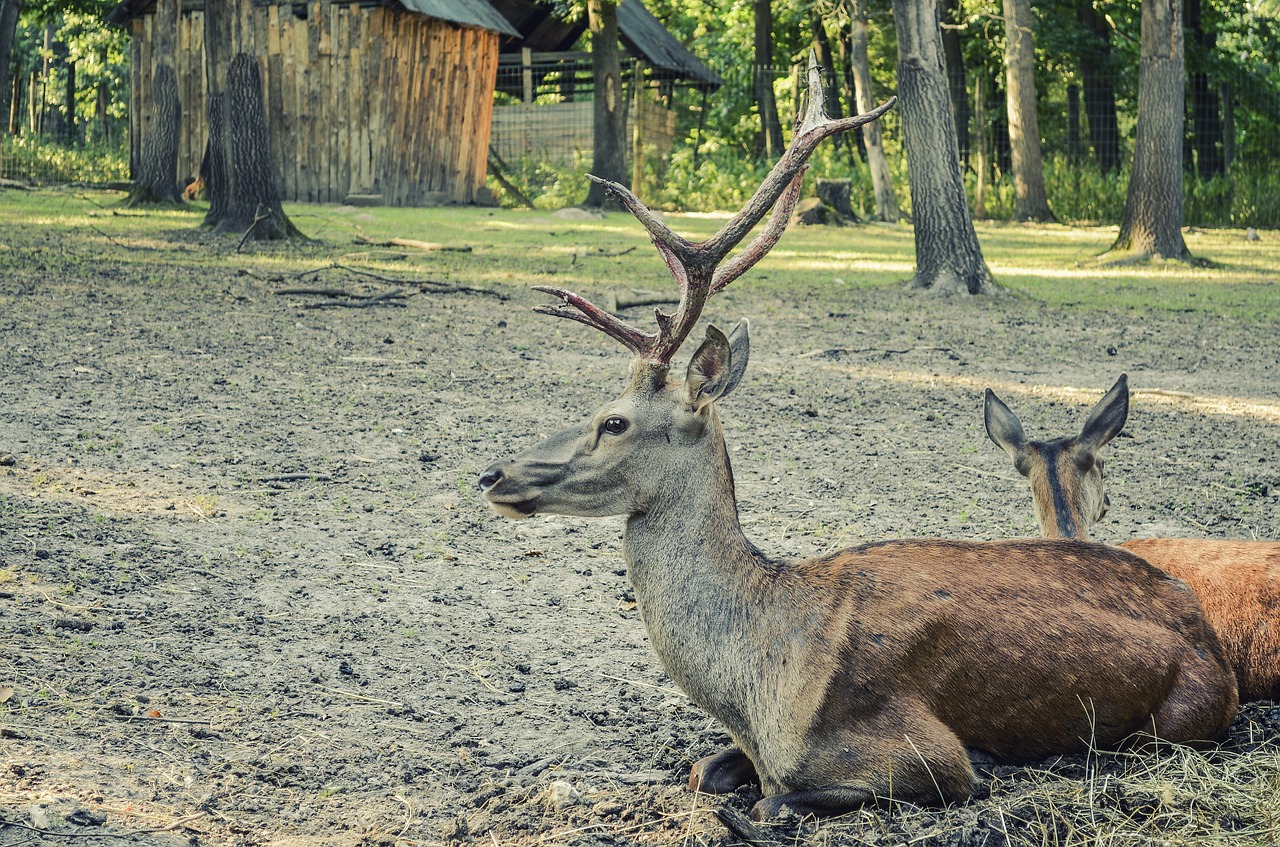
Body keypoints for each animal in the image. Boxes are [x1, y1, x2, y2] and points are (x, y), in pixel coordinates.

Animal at [476, 58, 1233, 823]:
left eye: (614, 421)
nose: (491, 475)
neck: (760, 687)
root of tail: (1205, 627)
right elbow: (702, 770)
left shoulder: (924, 751)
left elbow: (778, 800)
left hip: (1186, 714)